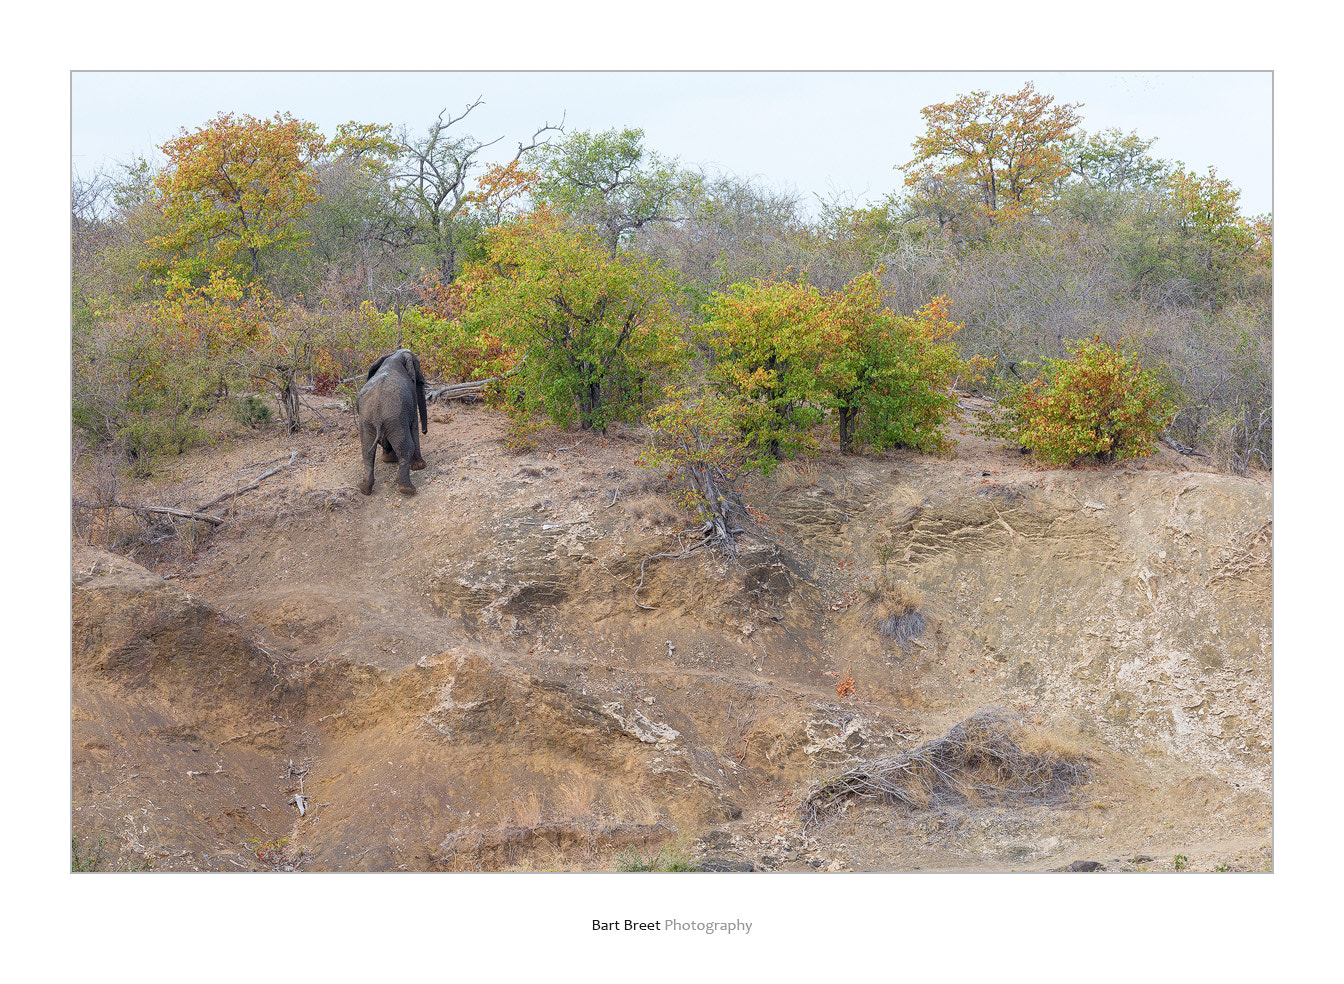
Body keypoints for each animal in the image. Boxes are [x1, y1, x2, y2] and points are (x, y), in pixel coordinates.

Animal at [354, 349, 427, 494]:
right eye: (418, 365)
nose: (425, 431)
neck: (394, 357)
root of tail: (377, 415)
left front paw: (388, 460)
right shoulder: (411, 400)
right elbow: (414, 425)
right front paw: (420, 466)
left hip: (368, 421)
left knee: (367, 450)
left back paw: (364, 489)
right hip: (396, 420)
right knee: (406, 447)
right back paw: (407, 489)